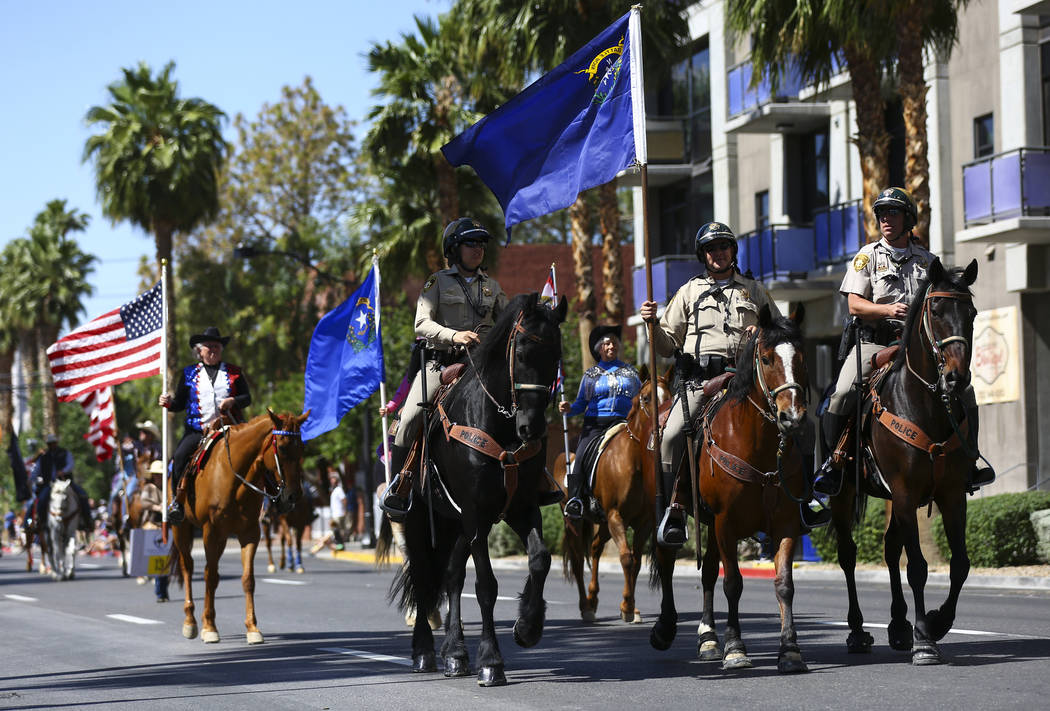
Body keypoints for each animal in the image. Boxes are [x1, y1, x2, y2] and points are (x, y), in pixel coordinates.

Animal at [168, 405, 306, 642]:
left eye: (302, 449)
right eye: (281, 447)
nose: (293, 496)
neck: (233, 478)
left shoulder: (249, 533)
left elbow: (247, 579)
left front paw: (252, 628)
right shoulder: (211, 532)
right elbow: (211, 576)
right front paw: (209, 627)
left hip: (223, 537)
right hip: (182, 529)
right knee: (188, 568)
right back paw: (191, 621)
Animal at [392, 291, 567, 684]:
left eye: (556, 355)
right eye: (521, 354)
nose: (532, 427)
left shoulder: (519, 507)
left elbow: (540, 559)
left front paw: (528, 626)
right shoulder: (477, 514)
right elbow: (486, 586)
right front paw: (491, 660)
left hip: (456, 524)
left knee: (452, 577)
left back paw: (455, 653)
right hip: (420, 519)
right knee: (424, 576)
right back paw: (424, 651)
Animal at [567, 369, 672, 625]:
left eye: (670, 396)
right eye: (646, 398)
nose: (662, 429)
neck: (632, 461)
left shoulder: (643, 522)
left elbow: (636, 562)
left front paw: (630, 607)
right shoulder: (616, 516)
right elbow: (626, 558)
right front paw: (627, 606)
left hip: (603, 524)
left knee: (595, 548)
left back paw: (593, 598)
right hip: (577, 522)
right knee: (577, 560)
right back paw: (585, 606)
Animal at [646, 304, 810, 672]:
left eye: (801, 356)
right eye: (766, 358)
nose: (792, 417)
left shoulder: (786, 523)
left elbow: (784, 584)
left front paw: (790, 649)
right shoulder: (726, 523)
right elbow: (733, 583)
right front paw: (735, 647)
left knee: (707, 572)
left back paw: (707, 638)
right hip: (671, 513)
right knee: (667, 559)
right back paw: (665, 628)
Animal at [823, 256, 978, 663]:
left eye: (971, 313)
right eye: (936, 311)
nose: (956, 378)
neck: (925, 405)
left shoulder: (951, 494)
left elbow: (960, 563)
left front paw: (936, 622)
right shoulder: (907, 492)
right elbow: (919, 567)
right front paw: (925, 638)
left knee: (891, 550)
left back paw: (897, 626)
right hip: (844, 496)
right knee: (848, 555)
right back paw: (858, 631)